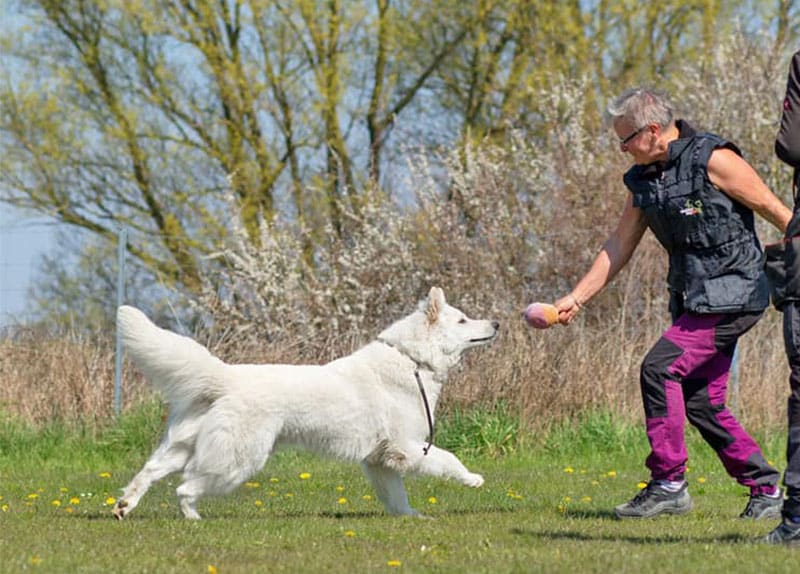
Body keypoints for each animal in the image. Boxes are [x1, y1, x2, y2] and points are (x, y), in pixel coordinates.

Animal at [112, 288, 500, 520]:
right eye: (463, 320)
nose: (496, 323)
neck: (412, 360)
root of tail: (226, 377)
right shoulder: (408, 446)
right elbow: (448, 459)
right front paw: (473, 478)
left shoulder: (381, 461)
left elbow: (396, 497)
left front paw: (411, 518)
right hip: (237, 460)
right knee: (185, 487)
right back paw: (193, 519)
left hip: (185, 446)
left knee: (149, 472)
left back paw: (124, 506)